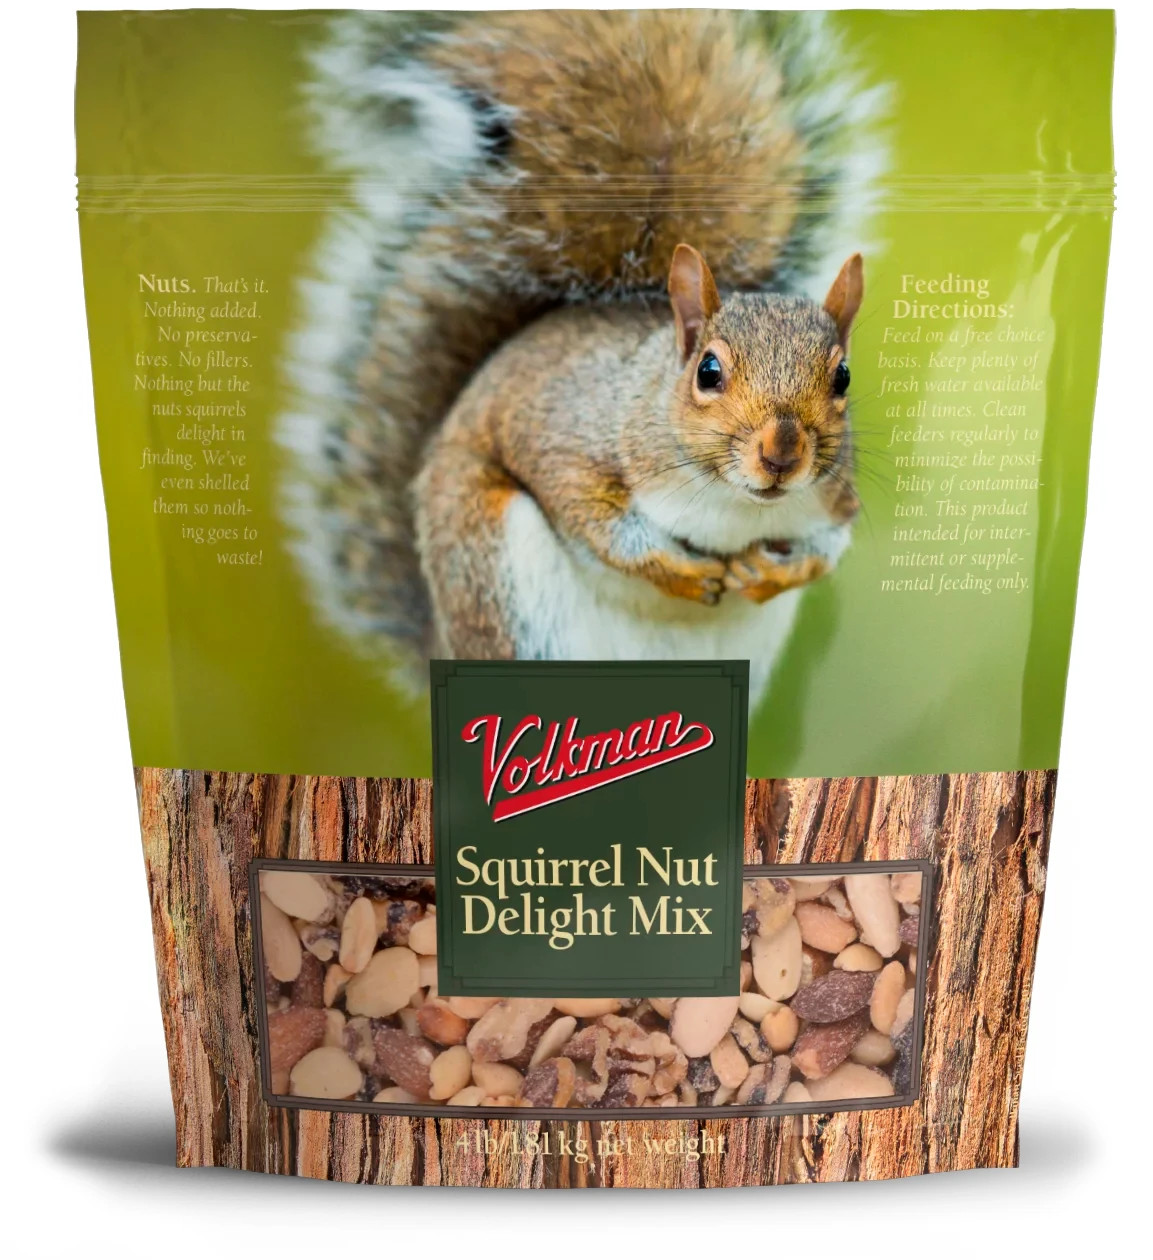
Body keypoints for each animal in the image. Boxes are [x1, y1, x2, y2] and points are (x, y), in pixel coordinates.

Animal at [278, 10, 885, 706]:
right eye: (708, 372)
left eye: (842, 377)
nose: (782, 453)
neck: (734, 504)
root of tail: (443, 643)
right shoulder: (566, 436)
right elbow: (593, 519)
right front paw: (676, 569)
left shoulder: (834, 497)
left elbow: (828, 544)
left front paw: (775, 572)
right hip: (500, 580)